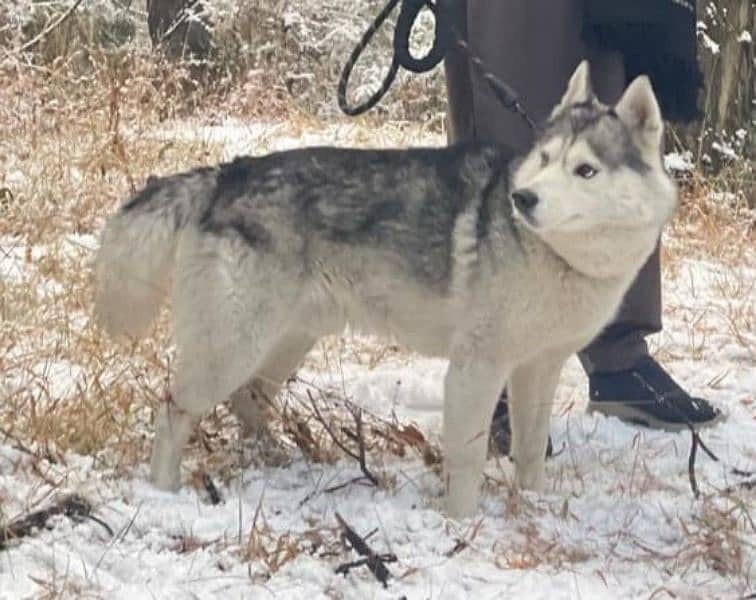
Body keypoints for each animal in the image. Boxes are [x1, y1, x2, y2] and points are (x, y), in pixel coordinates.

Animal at [94, 63, 680, 516]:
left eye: (585, 170)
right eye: (545, 160)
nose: (523, 198)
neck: (559, 256)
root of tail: (226, 174)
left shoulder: (539, 368)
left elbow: (532, 451)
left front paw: (534, 504)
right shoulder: (476, 370)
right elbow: (467, 458)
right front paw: (462, 524)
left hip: (282, 343)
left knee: (248, 400)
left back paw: (280, 457)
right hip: (232, 347)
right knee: (173, 408)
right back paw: (164, 490)